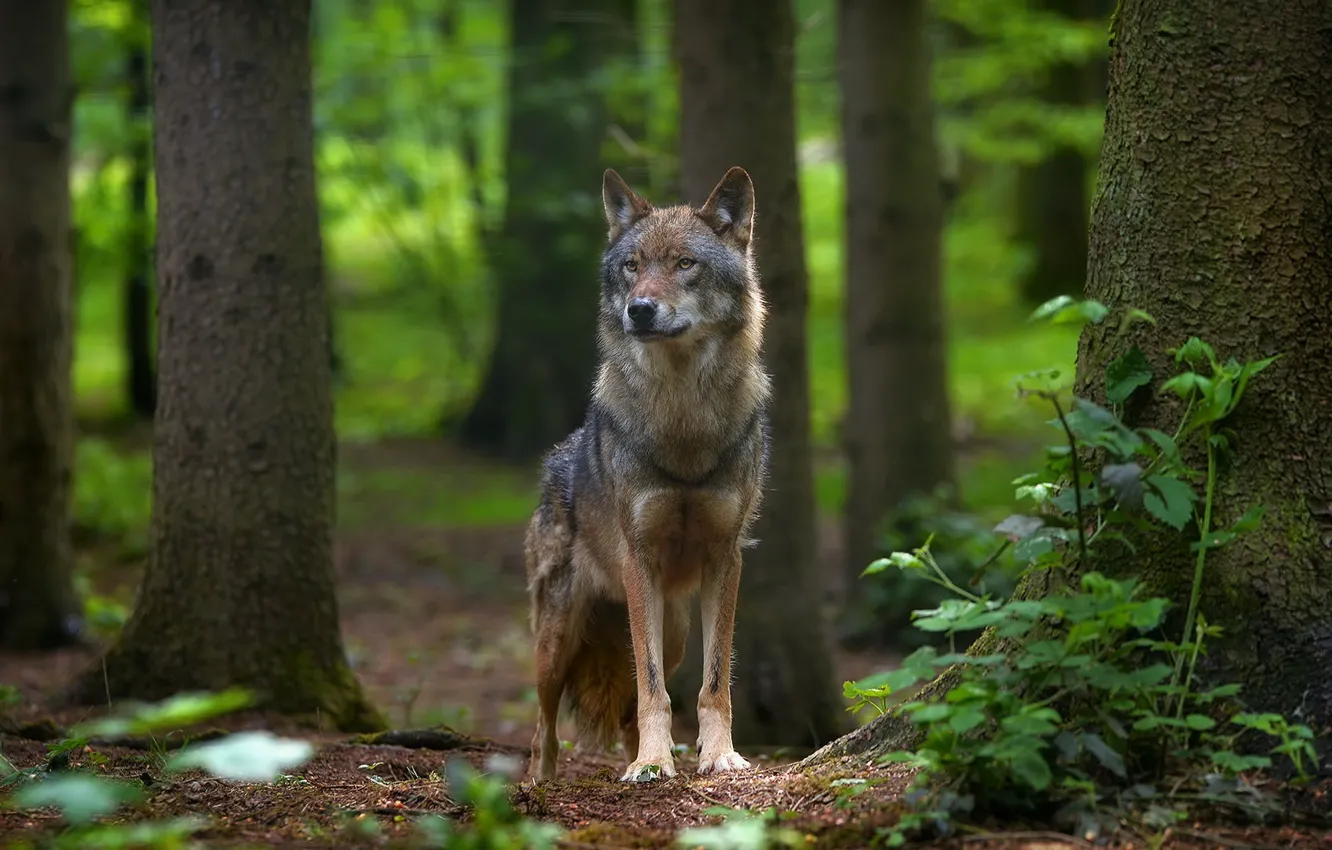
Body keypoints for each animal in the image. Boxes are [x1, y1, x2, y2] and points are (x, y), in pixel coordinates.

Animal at [523, 165, 771, 783]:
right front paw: (652, 764)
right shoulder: (639, 560)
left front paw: (717, 755)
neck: (682, 420)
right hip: (555, 641)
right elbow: (651, 685)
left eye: (685, 264)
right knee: (543, 724)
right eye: (632, 266)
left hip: (675, 629)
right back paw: (540, 781)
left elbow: (712, 683)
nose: (639, 309)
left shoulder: (725, 558)